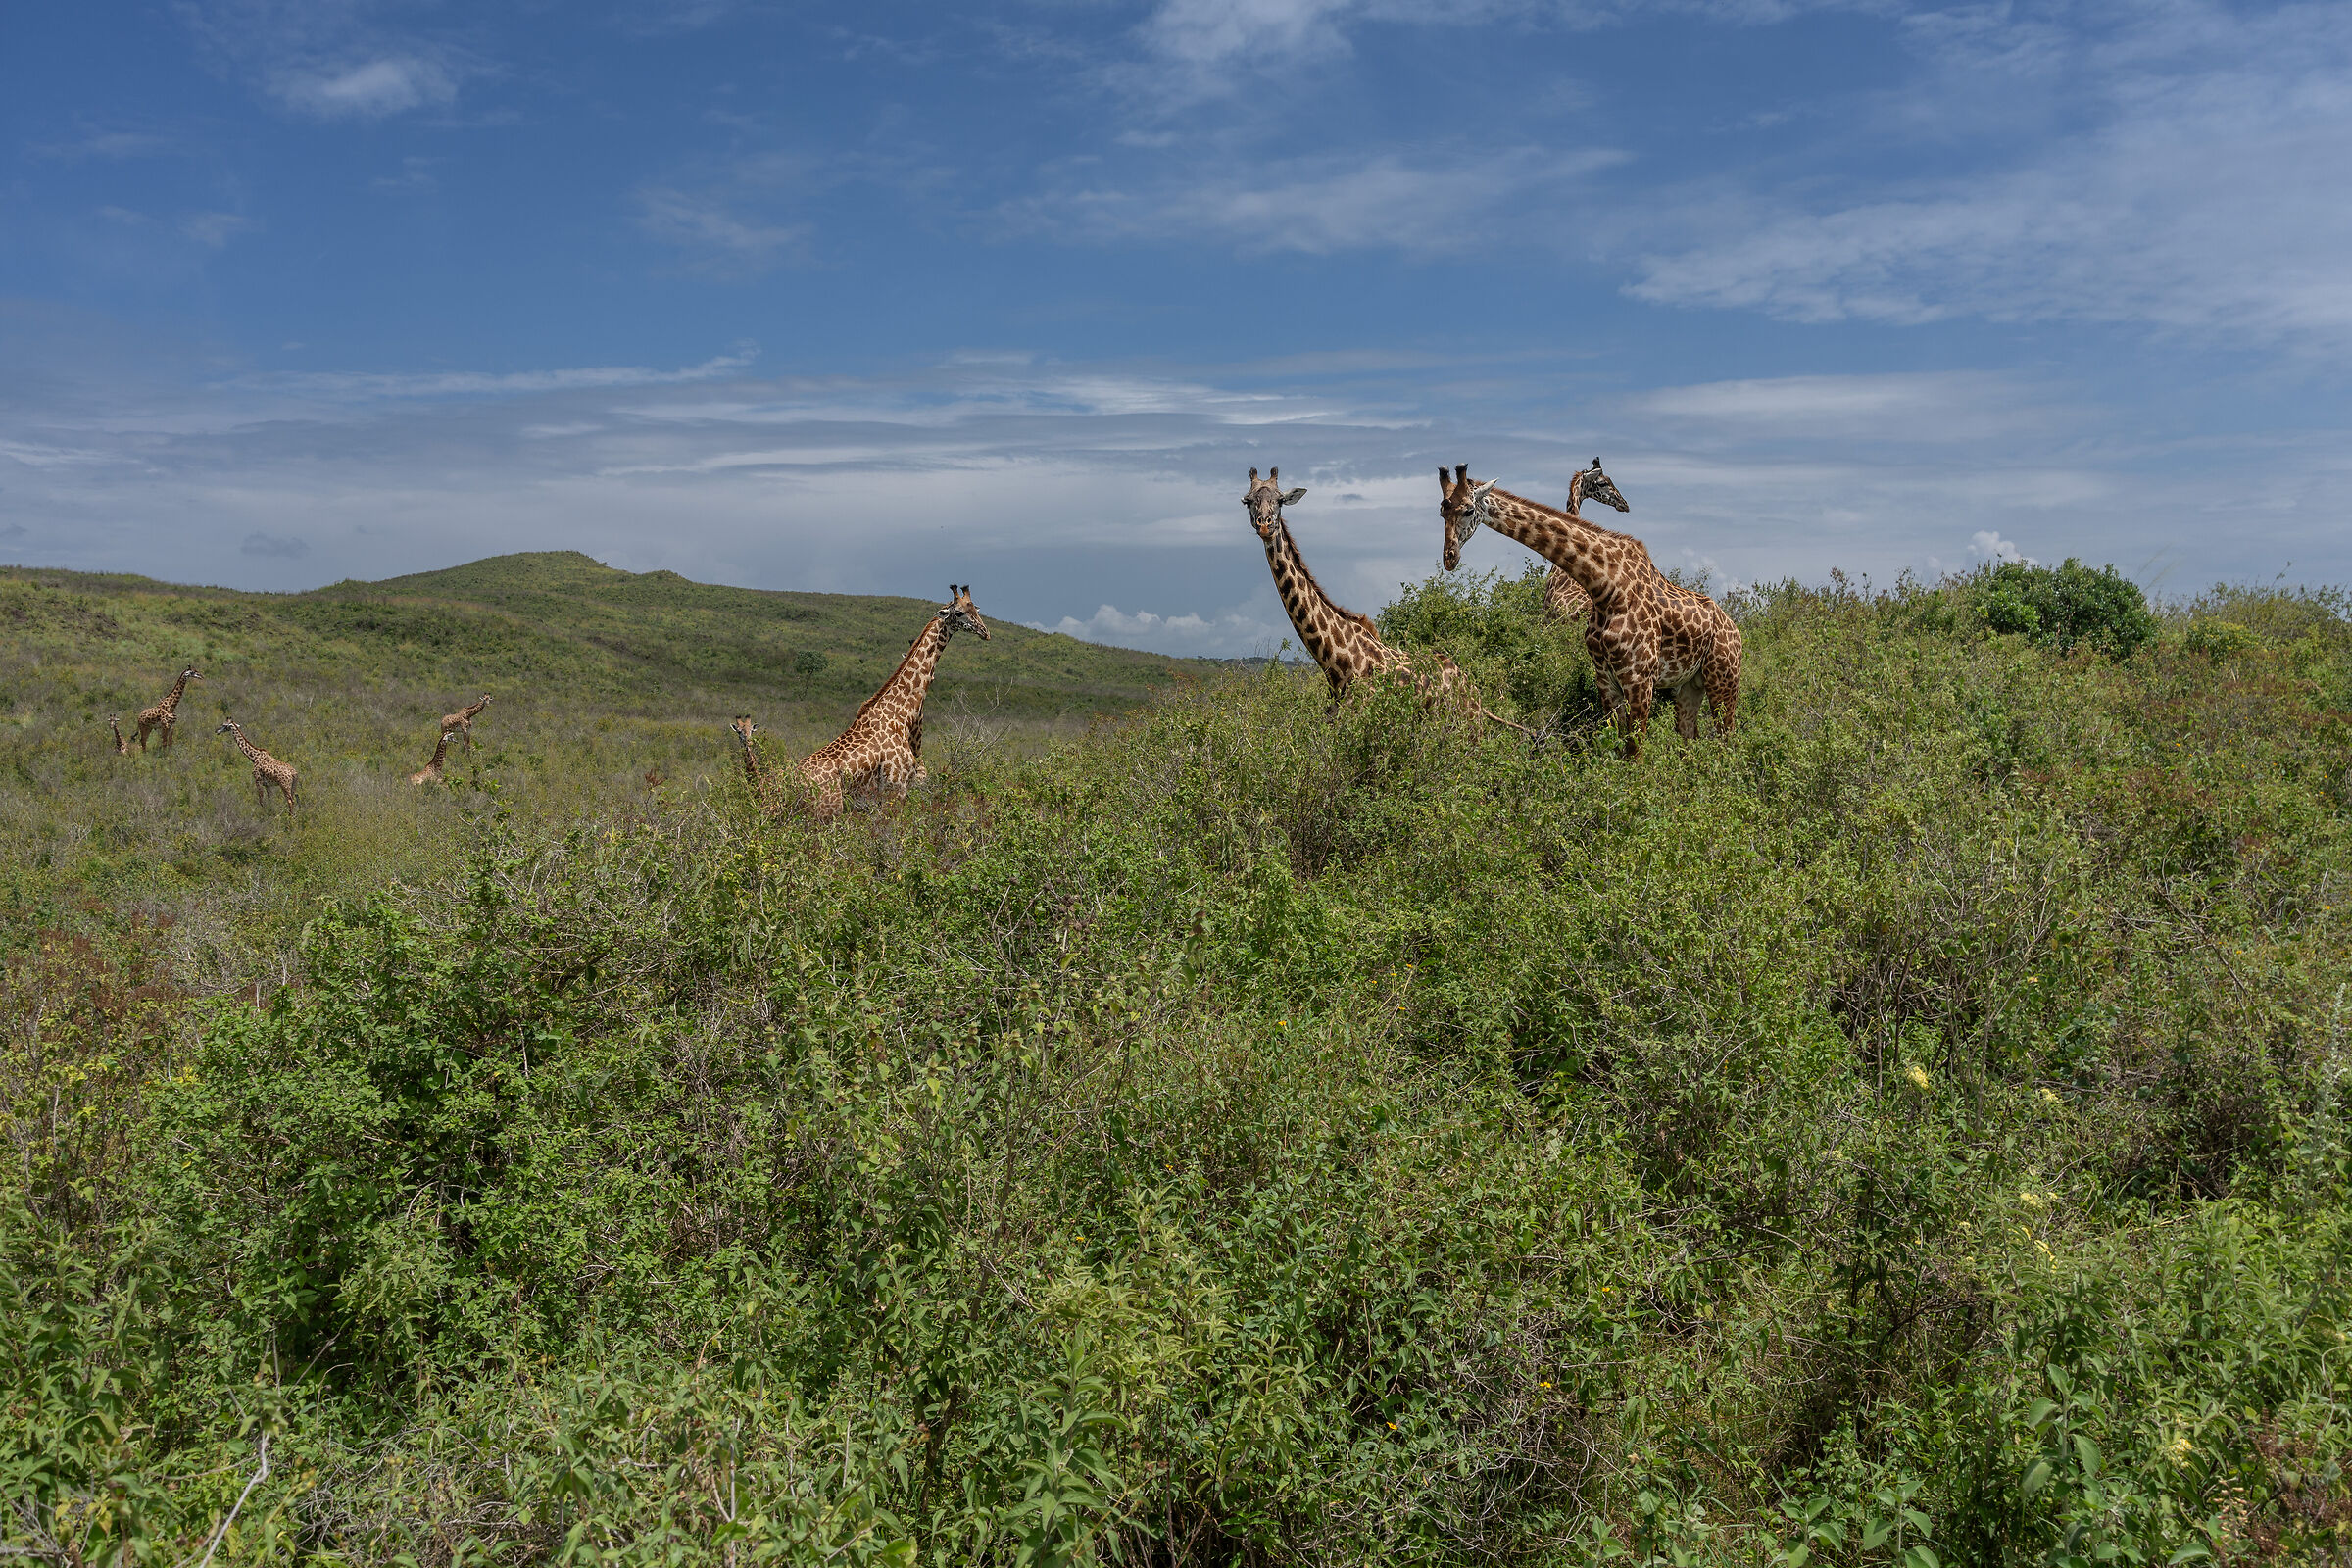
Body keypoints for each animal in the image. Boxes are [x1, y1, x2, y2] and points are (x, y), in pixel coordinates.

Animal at [793, 586, 988, 820]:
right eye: (959, 613)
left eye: (975, 609)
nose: (985, 632)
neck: (901, 713)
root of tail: (790, 784)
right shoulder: (896, 787)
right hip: (828, 812)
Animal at [1241, 467, 1531, 733]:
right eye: (1247, 500)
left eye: (1280, 500)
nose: (1265, 525)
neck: (1336, 666)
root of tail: (1475, 693)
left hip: (1468, 730)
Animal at [1438, 465, 1740, 758]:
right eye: (1442, 511)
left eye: (1468, 510)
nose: (1449, 558)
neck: (1606, 587)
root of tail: (1736, 631)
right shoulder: (1605, 679)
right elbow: (1615, 746)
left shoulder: (1640, 679)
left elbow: (1635, 752)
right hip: (1689, 685)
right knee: (1690, 741)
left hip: (1724, 681)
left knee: (1726, 741)